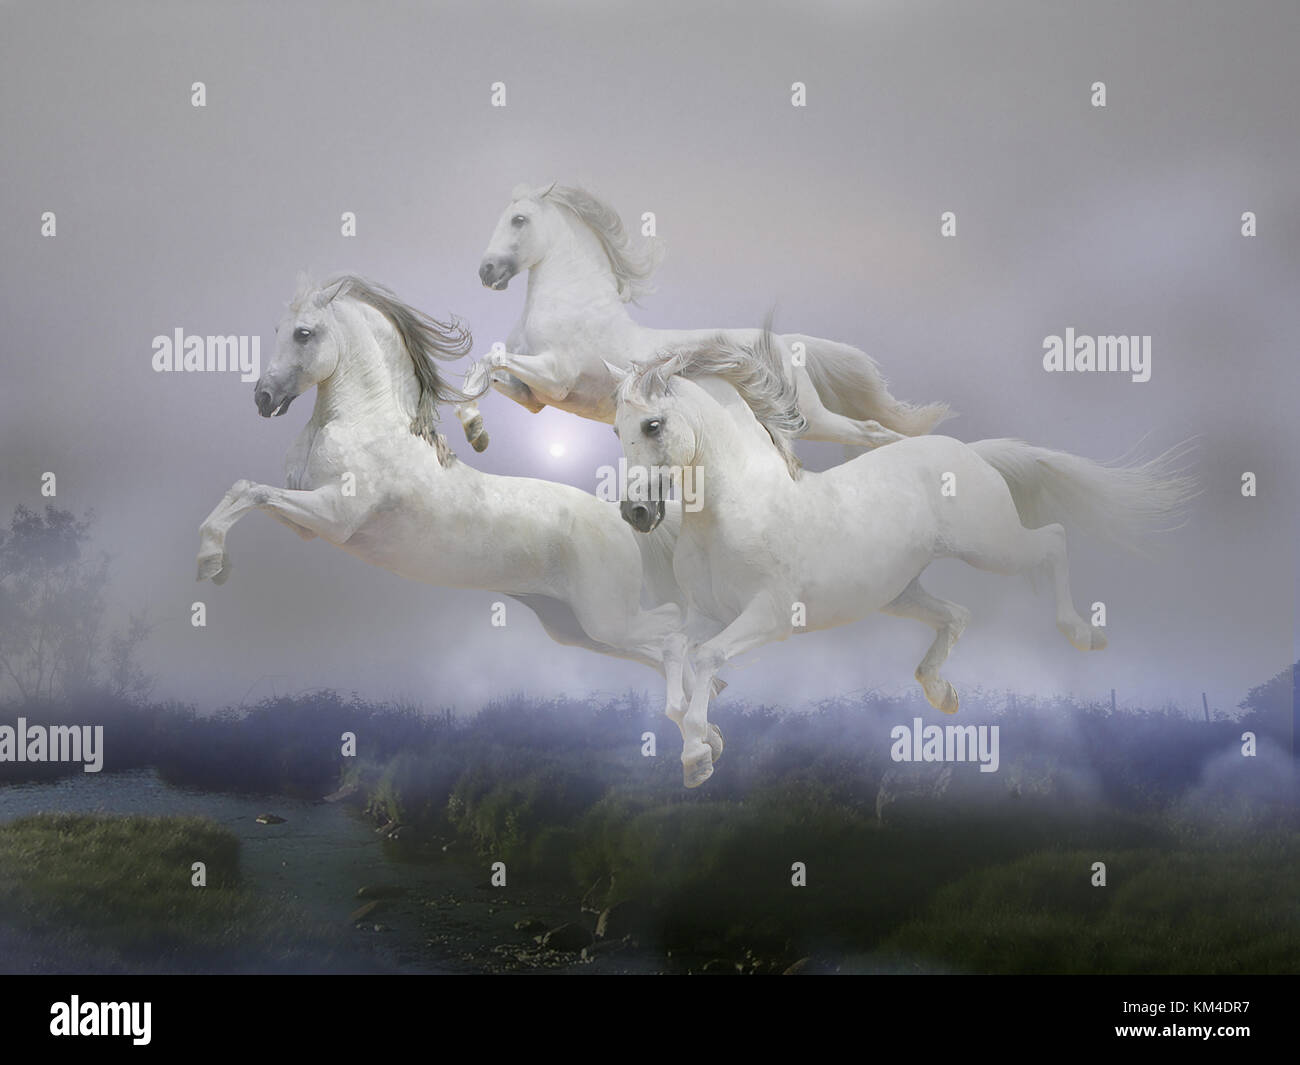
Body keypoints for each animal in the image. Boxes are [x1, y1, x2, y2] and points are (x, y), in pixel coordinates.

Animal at [196, 275, 719, 724]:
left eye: (304, 333)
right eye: (277, 330)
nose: (264, 398)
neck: (364, 423)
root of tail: (617, 518)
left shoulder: (334, 516)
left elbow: (251, 491)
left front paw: (209, 563)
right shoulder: (308, 520)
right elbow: (245, 492)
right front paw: (217, 565)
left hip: (606, 618)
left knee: (672, 630)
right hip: (575, 627)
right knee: (655, 649)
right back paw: (704, 737)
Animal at [452, 182, 949, 455]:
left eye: (518, 220)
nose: (486, 272)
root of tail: (786, 342)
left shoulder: (557, 377)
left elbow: (489, 359)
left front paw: (474, 432)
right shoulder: (536, 398)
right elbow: (484, 375)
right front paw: (475, 431)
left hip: (809, 417)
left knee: (873, 432)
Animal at [609, 332, 1196, 787]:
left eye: (653, 425)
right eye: (616, 429)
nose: (635, 512)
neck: (739, 510)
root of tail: (970, 452)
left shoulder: (770, 616)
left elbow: (706, 658)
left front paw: (696, 755)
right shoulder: (708, 615)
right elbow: (675, 653)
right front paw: (705, 740)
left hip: (991, 545)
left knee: (1051, 541)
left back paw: (1082, 634)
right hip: (897, 592)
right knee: (957, 614)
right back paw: (942, 693)